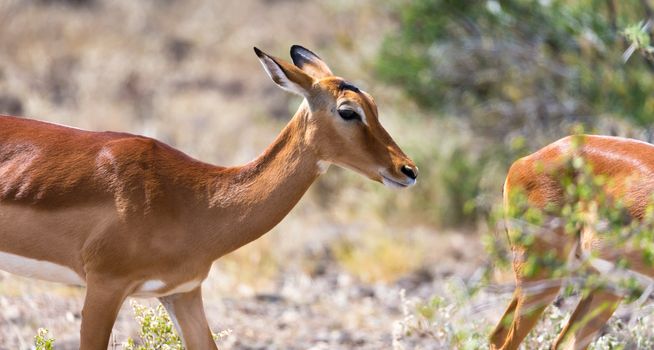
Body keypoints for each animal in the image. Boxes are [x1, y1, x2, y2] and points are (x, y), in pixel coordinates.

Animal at [0, 45, 420, 348]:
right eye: (348, 111)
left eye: (375, 106)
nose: (408, 170)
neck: (194, 199)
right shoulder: (104, 286)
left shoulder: (183, 293)